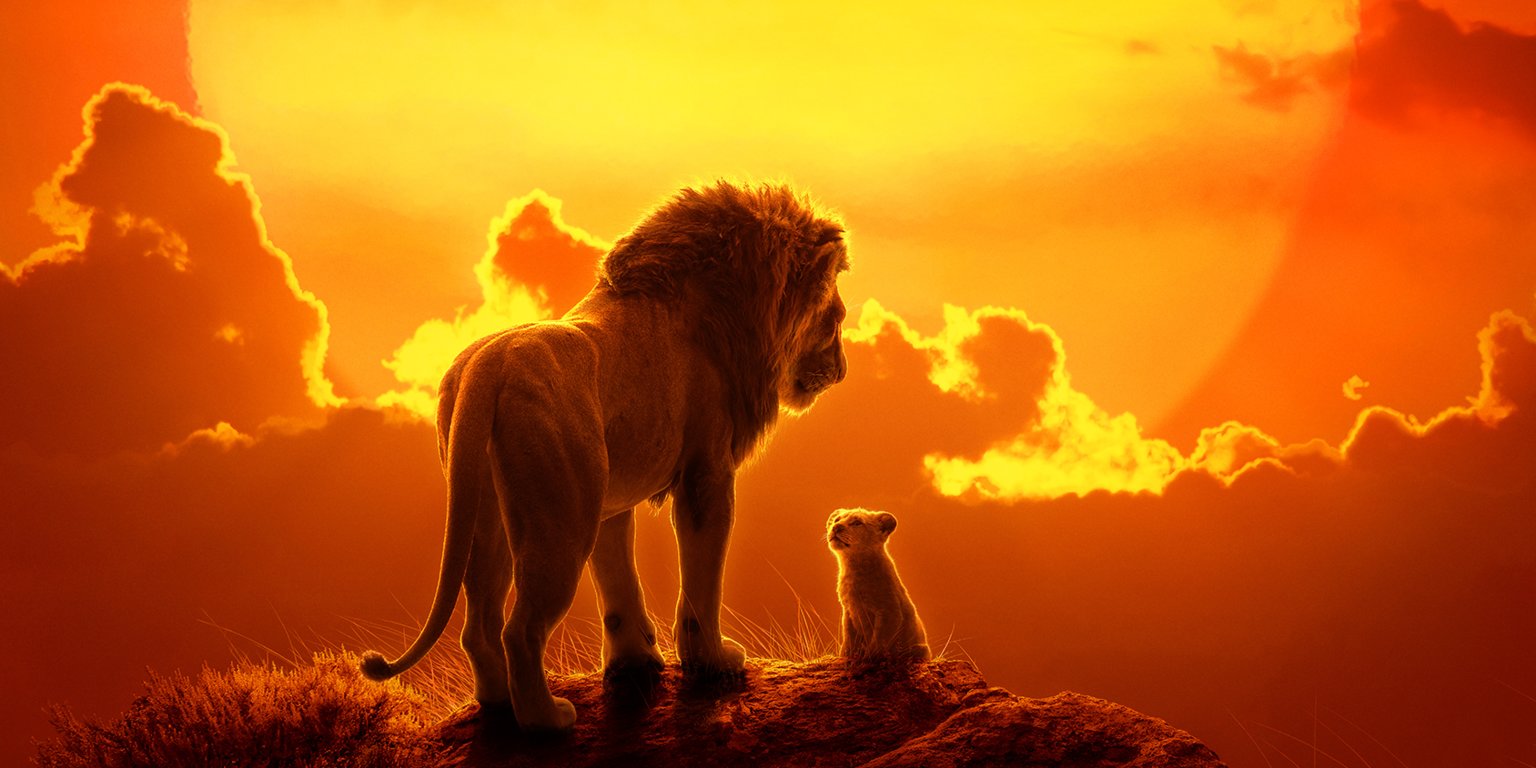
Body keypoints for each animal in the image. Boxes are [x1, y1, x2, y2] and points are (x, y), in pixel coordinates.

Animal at [361, 182, 850, 730]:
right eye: (836, 320)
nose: (842, 370)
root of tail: (487, 368)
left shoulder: (610, 499)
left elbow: (618, 583)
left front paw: (634, 662)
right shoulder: (706, 473)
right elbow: (702, 581)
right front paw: (714, 662)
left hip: (488, 514)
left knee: (480, 624)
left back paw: (498, 704)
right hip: (560, 521)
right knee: (521, 629)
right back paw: (546, 720)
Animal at [826, 508, 930, 662]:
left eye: (857, 522)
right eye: (837, 519)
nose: (836, 527)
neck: (852, 566)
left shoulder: (889, 611)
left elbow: (879, 640)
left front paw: (869, 658)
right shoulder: (848, 611)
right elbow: (849, 637)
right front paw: (847, 656)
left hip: (920, 648)